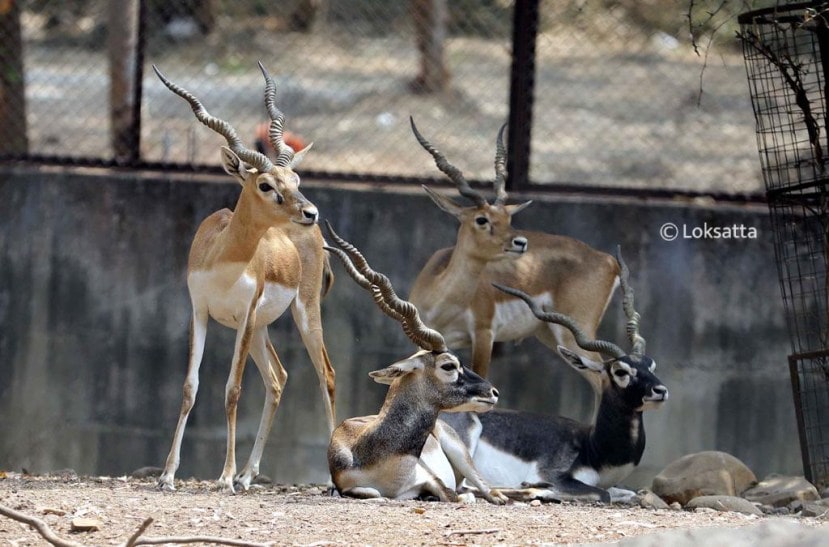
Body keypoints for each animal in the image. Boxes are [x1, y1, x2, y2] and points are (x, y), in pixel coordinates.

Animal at [154, 63, 334, 492]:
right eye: (266, 184)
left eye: (296, 181)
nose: (310, 212)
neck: (225, 257)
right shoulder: (200, 312)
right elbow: (190, 388)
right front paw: (168, 474)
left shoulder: (245, 315)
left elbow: (232, 390)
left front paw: (224, 477)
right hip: (261, 328)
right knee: (278, 378)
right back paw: (251, 474)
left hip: (301, 313)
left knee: (326, 375)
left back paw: (330, 476)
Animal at [322, 223, 504, 506]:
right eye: (448, 366)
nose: (493, 392)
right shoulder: (349, 485)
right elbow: (372, 493)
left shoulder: (431, 479)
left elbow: (452, 495)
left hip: (459, 452)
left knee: (487, 491)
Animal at [408, 119, 620, 398]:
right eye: (482, 219)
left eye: (507, 218)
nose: (520, 242)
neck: (441, 301)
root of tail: (608, 260)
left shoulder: (484, 335)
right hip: (549, 334)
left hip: (575, 333)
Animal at [440, 249, 668, 506]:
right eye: (620, 371)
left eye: (651, 365)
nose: (660, 391)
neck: (593, 448)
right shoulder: (555, 475)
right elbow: (603, 493)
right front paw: (538, 488)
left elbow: (628, 492)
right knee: (467, 486)